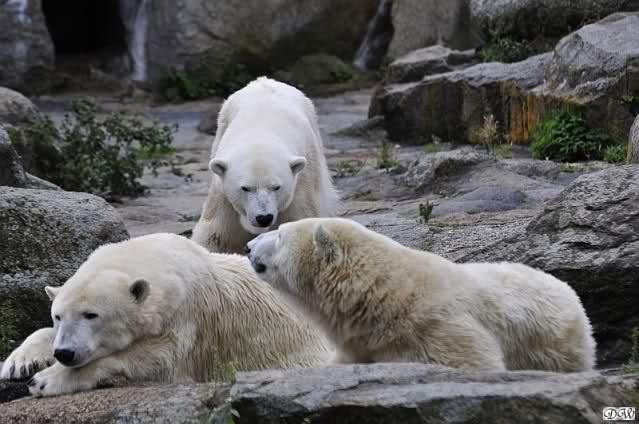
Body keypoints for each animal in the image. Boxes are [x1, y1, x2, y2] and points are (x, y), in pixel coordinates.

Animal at [0, 233, 332, 397]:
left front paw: (45, 380)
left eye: (91, 315)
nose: (65, 353)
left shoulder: (190, 316)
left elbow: (159, 358)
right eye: (58, 316)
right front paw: (19, 363)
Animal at [191, 77, 339, 254]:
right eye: (245, 188)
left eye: (276, 187)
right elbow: (216, 234)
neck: (261, 131)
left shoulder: (301, 181)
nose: (264, 218)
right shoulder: (223, 193)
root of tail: (263, 79)